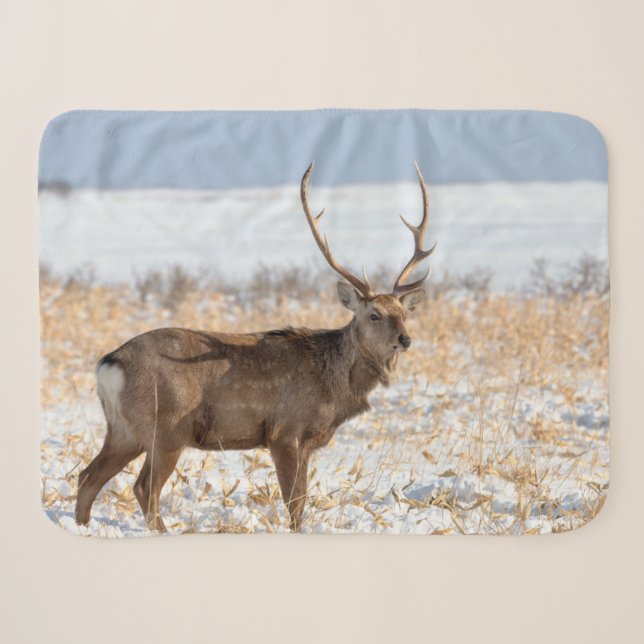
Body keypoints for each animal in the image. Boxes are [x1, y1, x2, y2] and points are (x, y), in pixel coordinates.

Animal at [75, 162, 436, 533]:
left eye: (404, 313)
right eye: (374, 315)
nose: (405, 339)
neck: (334, 387)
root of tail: (108, 365)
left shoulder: (307, 442)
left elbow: (301, 501)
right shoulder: (284, 431)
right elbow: (294, 504)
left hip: (124, 429)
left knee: (88, 477)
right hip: (167, 426)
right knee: (143, 486)